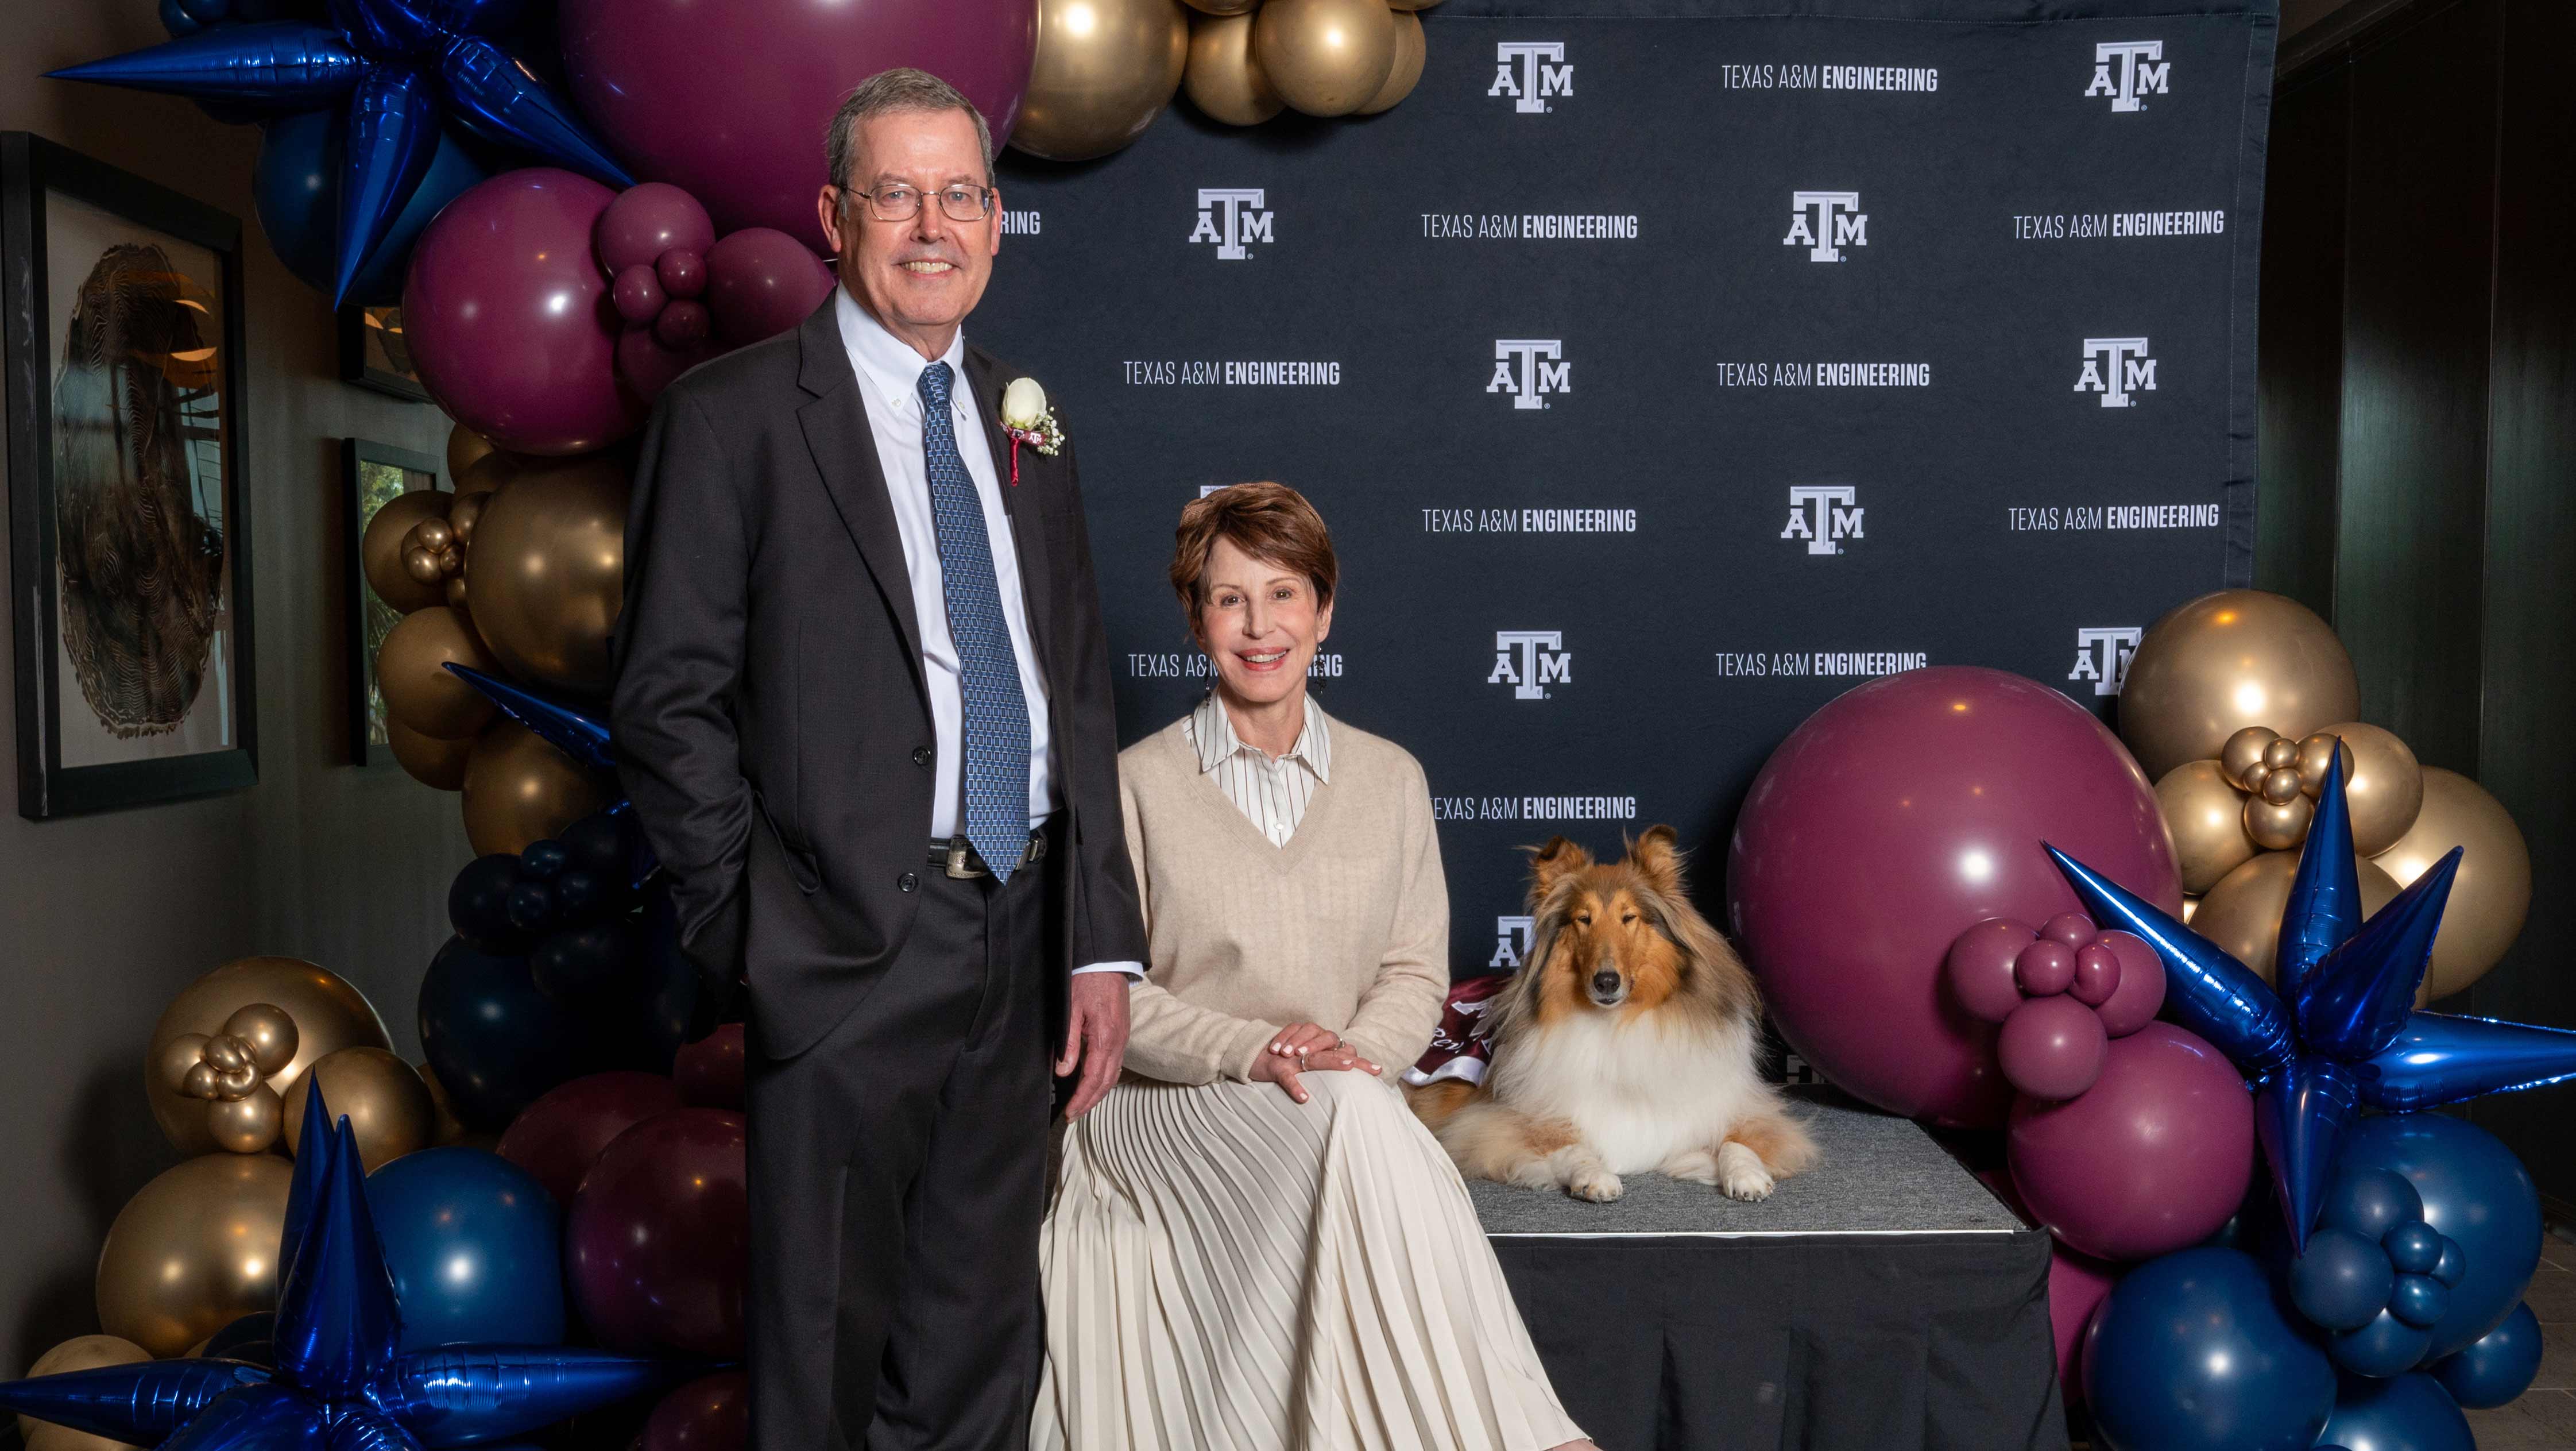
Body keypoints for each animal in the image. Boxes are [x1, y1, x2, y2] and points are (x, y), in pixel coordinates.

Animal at [1411, 829, 1813, 1206]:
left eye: (1629, 917)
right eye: (1583, 919)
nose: (1606, 982)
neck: (1618, 1023)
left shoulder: (1736, 1107)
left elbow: (1739, 1139)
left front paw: (1747, 1177)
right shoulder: (1497, 1122)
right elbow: (1570, 1145)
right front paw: (1594, 1176)